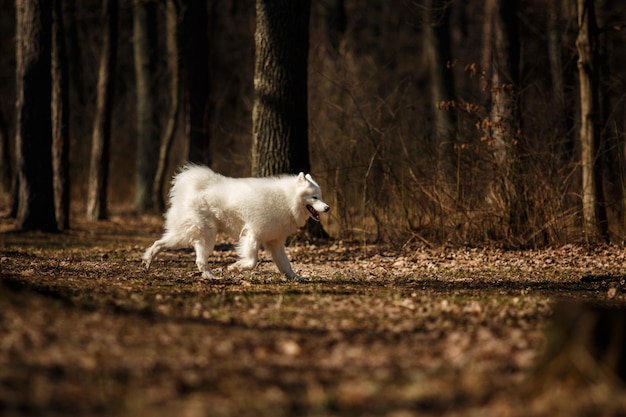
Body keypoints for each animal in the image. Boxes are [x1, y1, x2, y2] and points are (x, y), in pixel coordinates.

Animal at [143, 164, 330, 282]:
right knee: (199, 259)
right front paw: (234, 267)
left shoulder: (275, 243)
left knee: (158, 243)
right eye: (314, 197)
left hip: (190, 235)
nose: (327, 208)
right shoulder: (252, 234)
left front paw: (297, 278)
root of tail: (193, 187)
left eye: (321, 196)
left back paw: (147, 263)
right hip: (205, 235)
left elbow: (286, 265)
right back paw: (210, 276)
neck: (287, 199)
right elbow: (252, 262)